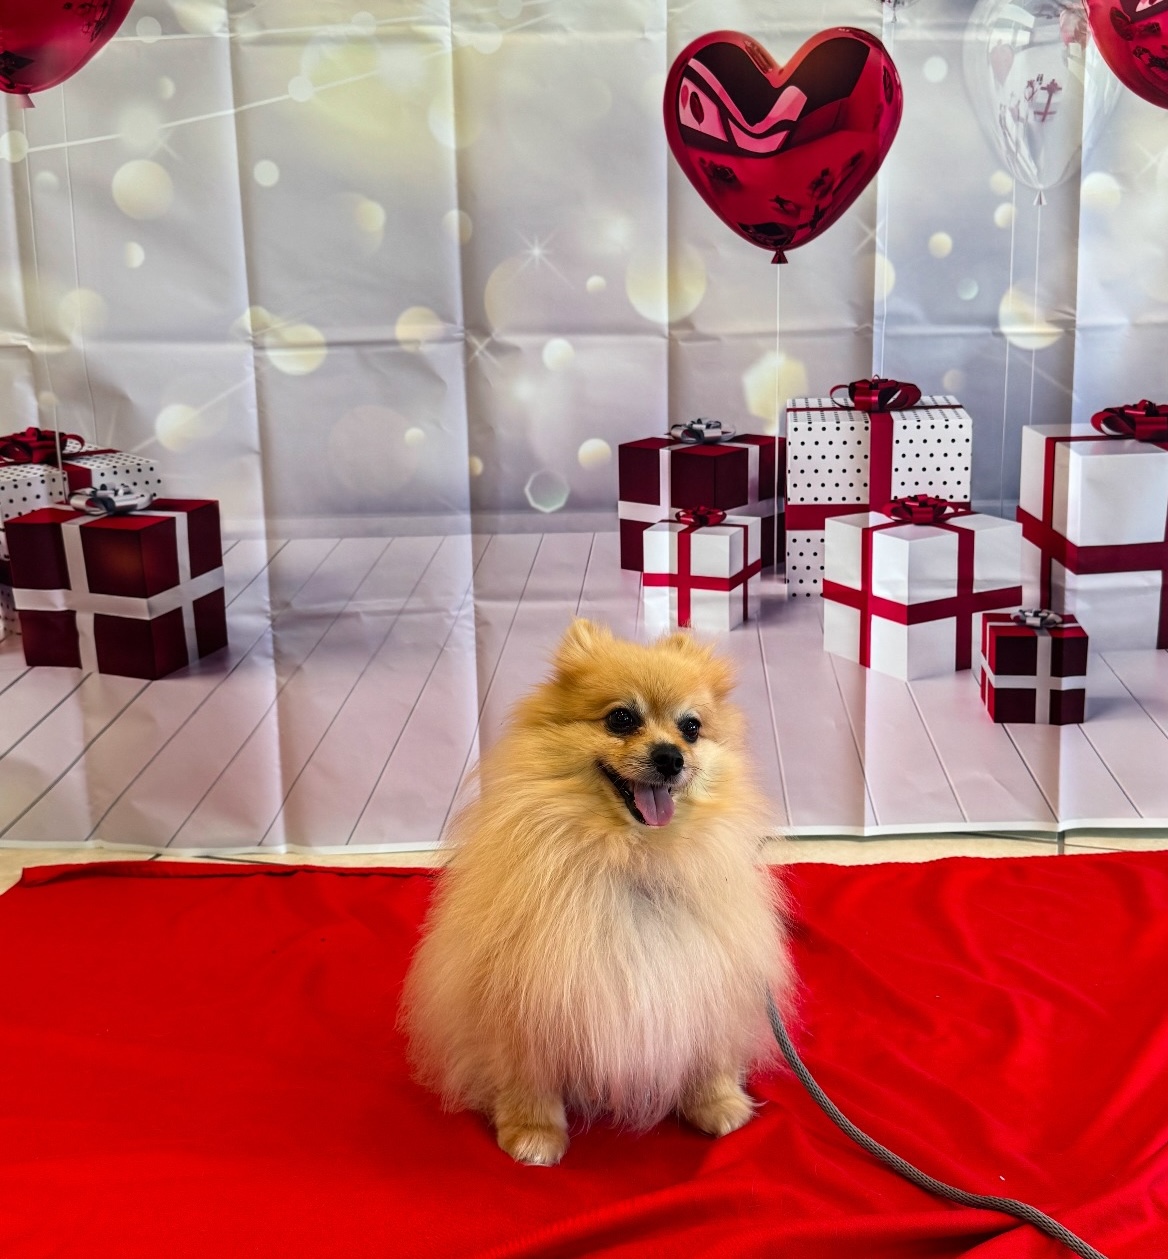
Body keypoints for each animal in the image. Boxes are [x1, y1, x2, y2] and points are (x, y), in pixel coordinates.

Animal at [402, 614, 795, 1163]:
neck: (633, 858)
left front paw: (718, 1104)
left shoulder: (708, 974)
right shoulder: (527, 993)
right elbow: (528, 1076)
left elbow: (708, 1048)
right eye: (621, 719)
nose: (671, 756)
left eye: (691, 728)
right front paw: (533, 1134)